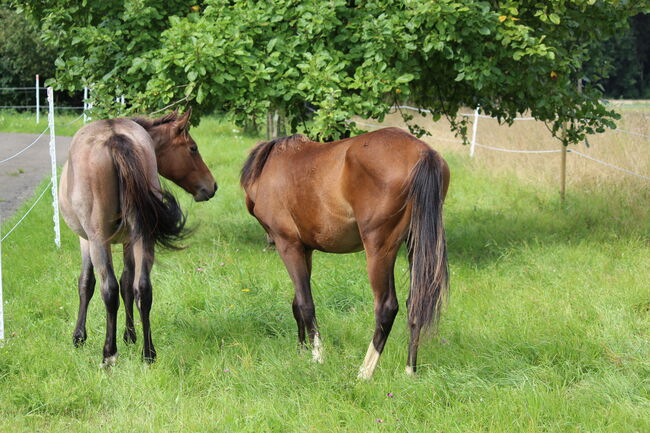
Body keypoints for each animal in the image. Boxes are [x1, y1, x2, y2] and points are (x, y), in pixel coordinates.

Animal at [58, 108, 215, 364]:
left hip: (99, 240)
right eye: (193, 148)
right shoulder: (128, 241)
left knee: (109, 290)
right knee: (143, 288)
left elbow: (87, 283)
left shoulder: (86, 240)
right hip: (142, 236)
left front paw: (79, 336)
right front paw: (130, 335)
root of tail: (115, 138)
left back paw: (109, 354)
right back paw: (148, 353)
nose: (212, 186)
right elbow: (127, 283)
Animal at [240, 126, 448, 376]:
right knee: (416, 303)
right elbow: (297, 303)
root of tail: (423, 153)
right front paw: (301, 351)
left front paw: (317, 356)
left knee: (386, 307)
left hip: (379, 250)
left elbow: (305, 303)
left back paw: (365, 372)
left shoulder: (288, 245)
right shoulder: (305, 250)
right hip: (415, 246)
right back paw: (409, 370)